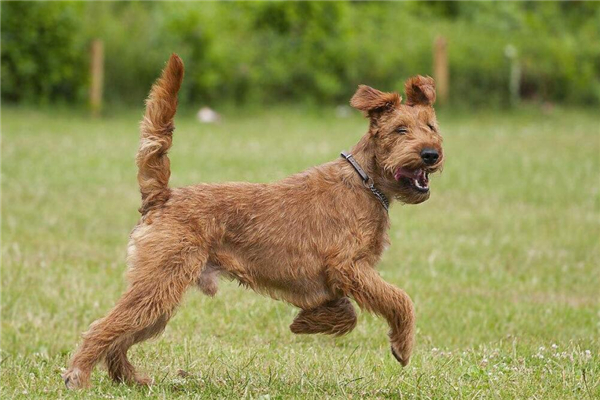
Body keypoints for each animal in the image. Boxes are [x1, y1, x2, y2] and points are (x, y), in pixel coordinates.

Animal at [63, 54, 442, 390]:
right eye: (400, 130)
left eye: (431, 127)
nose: (431, 154)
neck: (366, 182)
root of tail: (162, 196)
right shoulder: (348, 266)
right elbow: (399, 299)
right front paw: (402, 347)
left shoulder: (339, 275)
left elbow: (348, 313)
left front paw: (307, 323)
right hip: (160, 282)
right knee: (104, 327)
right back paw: (78, 376)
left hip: (161, 294)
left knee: (121, 335)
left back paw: (128, 378)